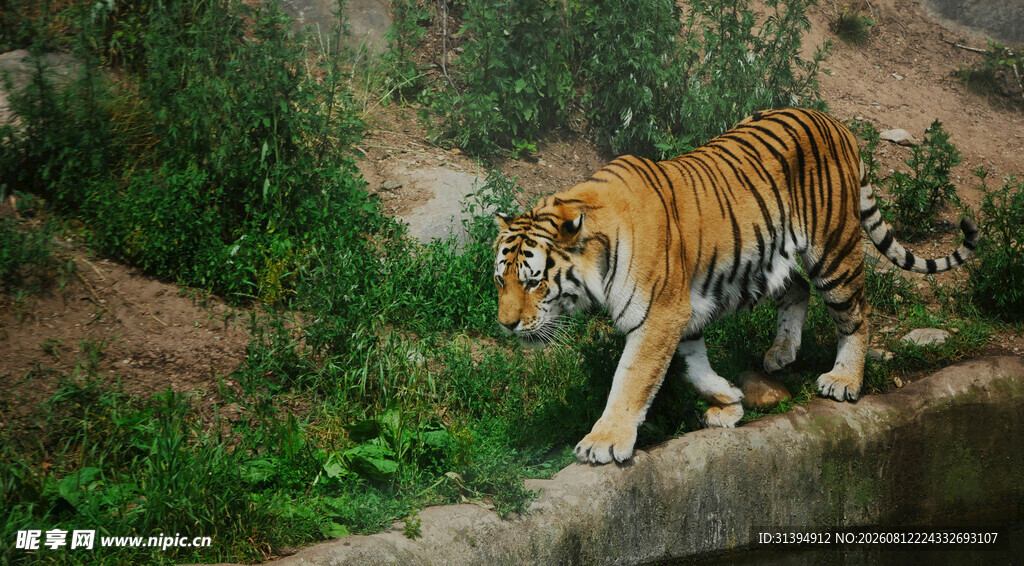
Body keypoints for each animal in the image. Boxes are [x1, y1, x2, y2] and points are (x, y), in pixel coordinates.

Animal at [492, 108, 979, 465]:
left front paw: (604, 441)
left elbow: (632, 378)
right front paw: (729, 401)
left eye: (534, 282)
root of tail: (833, 121)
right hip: (770, 257)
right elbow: (692, 366)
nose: (505, 325)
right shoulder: (681, 313)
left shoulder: (659, 314)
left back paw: (844, 380)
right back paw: (781, 353)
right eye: (501, 280)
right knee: (797, 289)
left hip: (834, 252)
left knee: (857, 314)